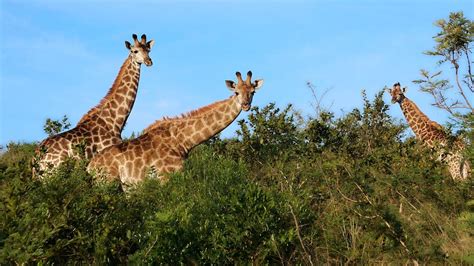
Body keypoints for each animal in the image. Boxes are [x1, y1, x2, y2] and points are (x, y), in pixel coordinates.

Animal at [33, 33, 156, 179]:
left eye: (148, 50)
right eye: (135, 51)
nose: (149, 61)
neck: (114, 122)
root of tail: (35, 157)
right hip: (53, 173)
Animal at [87, 70, 264, 185]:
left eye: (253, 92)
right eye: (236, 92)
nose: (246, 105)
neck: (183, 140)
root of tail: (89, 167)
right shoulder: (166, 176)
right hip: (107, 182)